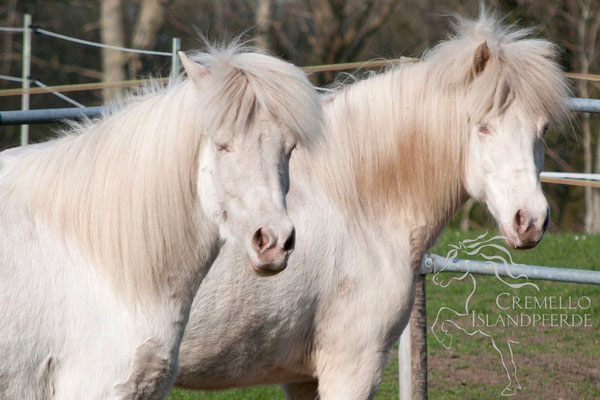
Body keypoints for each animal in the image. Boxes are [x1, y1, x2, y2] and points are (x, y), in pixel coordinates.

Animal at [176, 12, 568, 400]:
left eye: (544, 128)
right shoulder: (352, 367)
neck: (352, 201)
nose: (530, 220)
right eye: (484, 127)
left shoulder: (302, 379)